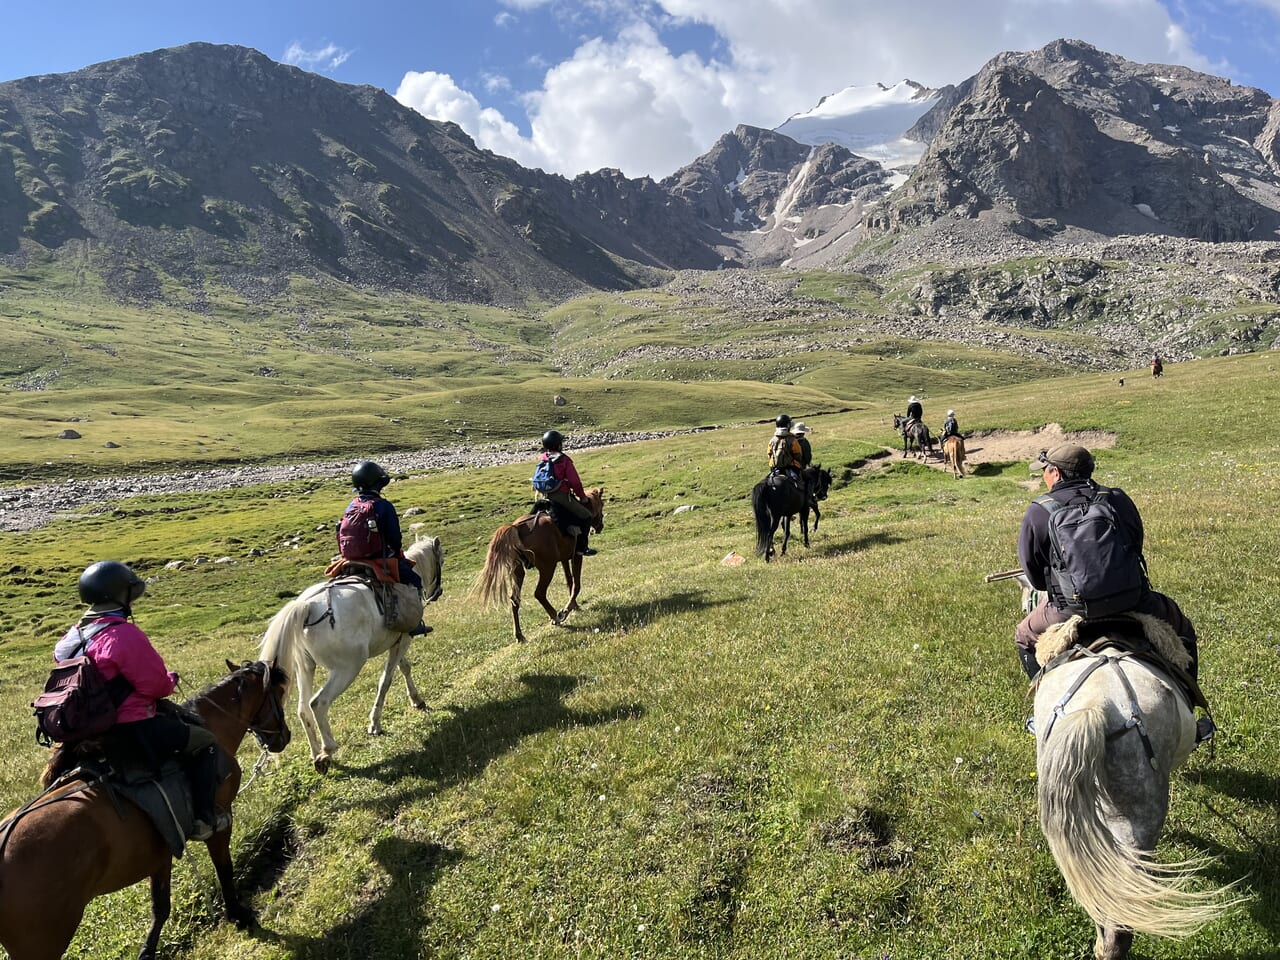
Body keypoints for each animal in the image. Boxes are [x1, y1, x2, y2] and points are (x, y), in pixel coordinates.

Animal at [0, 660, 290, 960]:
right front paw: (237, 913)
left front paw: (148, 951)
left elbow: (160, 906)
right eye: (280, 693)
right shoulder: (221, 822)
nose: (284, 737)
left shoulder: (163, 847)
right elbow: (224, 868)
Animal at [257, 542, 442, 773]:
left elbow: (402, 667)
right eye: (441, 559)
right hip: (347, 668)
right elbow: (387, 679)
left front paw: (416, 700)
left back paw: (316, 754)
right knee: (318, 703)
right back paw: (327, 750)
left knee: (302, 709)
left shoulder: (396, 641)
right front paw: (376, 724)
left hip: (305, 668)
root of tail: (308, 607)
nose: (438, 592)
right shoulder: (404, 638)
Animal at [476, 488, 604, 647]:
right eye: (602, 505)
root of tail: (517, 528)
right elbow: (576, 585)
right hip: (547, 567)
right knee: (539, 593)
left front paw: (575, 606)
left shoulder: (564, 559)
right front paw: (567, 609)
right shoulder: (576, 556)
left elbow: (569, 581)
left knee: (514, 599)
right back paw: (556, 616)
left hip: (517, 571)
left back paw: (519, 636)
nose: (600, 527)